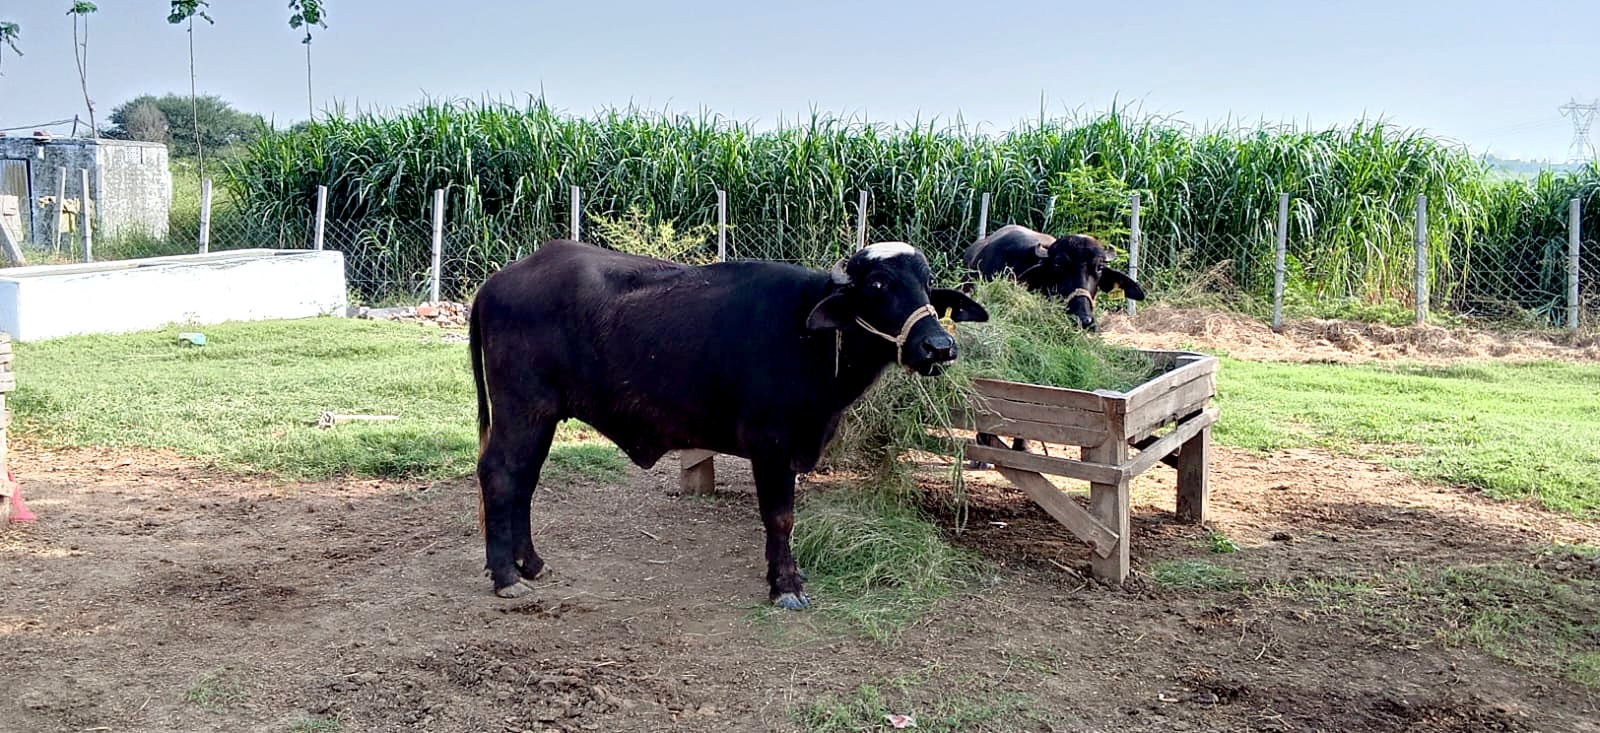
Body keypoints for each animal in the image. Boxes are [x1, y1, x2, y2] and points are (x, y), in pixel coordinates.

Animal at [468, 239, 988, 609]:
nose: (939, 347)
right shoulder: (772, 447)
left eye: (926, 283)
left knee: (524, 479)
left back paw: (530, 563)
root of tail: (497, 283)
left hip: (541, 417)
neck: (809, 337)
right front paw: (785, 585)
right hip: (522, 409)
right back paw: (506, 576)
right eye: (878, 285)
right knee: (500, 475)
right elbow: (780, 517)